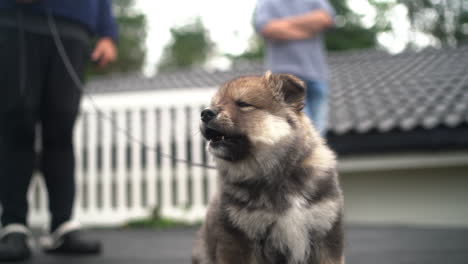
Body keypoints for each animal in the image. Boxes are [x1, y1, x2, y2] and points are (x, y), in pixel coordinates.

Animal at [192, 71, 346, 262]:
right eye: (215, 104)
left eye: (243, 104)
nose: (205, 113)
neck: (279, 173)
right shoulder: (238, 239)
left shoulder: (325, 235)